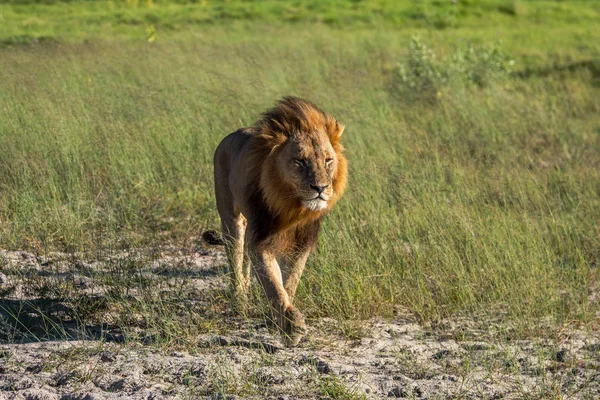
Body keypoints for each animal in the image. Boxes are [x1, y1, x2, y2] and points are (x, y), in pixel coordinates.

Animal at [214, 97, 346, 344]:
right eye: (300, 161)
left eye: (328, 160)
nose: (320, 188)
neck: (292, 208)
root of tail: (229, 136)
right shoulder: (261, 241)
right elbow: (273, 285)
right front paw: (290, 326)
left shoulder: (300, 244)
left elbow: (290, 282)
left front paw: (279, 319)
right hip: (231, 218)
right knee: (236, 260)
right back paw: (240, 302)